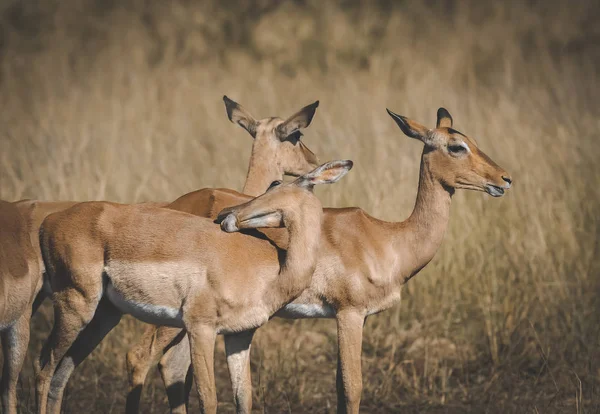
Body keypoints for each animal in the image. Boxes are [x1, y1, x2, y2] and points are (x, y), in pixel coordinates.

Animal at [35, 160, 354, 414]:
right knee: (43, 365)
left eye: (276, 183)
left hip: (104, 315)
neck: (273, 271)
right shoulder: (200, 328)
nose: (226, 214)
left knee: (62, 372)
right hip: (75, 307)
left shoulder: (239, 336)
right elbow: (208, 399)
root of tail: (48, 221)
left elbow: (243, 398)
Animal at [124, 105, 512, 412]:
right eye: (456, 146)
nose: (504, 179)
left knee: (173, 368)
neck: (389, 239)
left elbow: (340, 389)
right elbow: (352, 388)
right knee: (140, 358)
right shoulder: (349, 314)